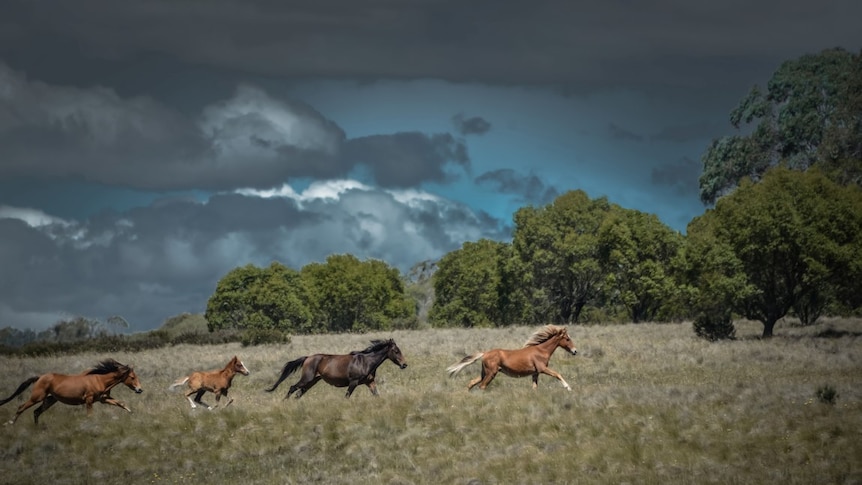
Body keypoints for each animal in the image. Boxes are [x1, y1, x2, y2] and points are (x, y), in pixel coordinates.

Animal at [0, 358, 143, 426]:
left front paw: (132, 413)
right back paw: (10, 423)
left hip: (50, 400)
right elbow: (90, 415)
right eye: (132, 377)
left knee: (36, 412)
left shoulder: (102, 399)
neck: (100, 380)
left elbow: (121, 403)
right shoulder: (89, 400)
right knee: (21, 407)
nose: (140, 389)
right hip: (37, 397)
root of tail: (39, 377)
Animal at [264, 338, 410, 398]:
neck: (366, 362)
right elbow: (347, 396)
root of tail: (307, 358)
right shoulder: (353, 382)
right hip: (307, 379)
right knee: (292, 388)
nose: (404, 365)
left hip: (312, 381)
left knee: (299, 393)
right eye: (396, 351)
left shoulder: (369, 382)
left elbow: (377, 395)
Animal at [446, 324, 580, 392]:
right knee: (482, 386)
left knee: (472, 383)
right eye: (567, 339)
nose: (575, 351)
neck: (541, 351)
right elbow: (557, 374)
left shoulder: (535, 373)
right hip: (491, 373)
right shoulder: (542, 369)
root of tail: (485, 353)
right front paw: (568, 388)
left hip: (485, 372)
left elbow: (535, 387)